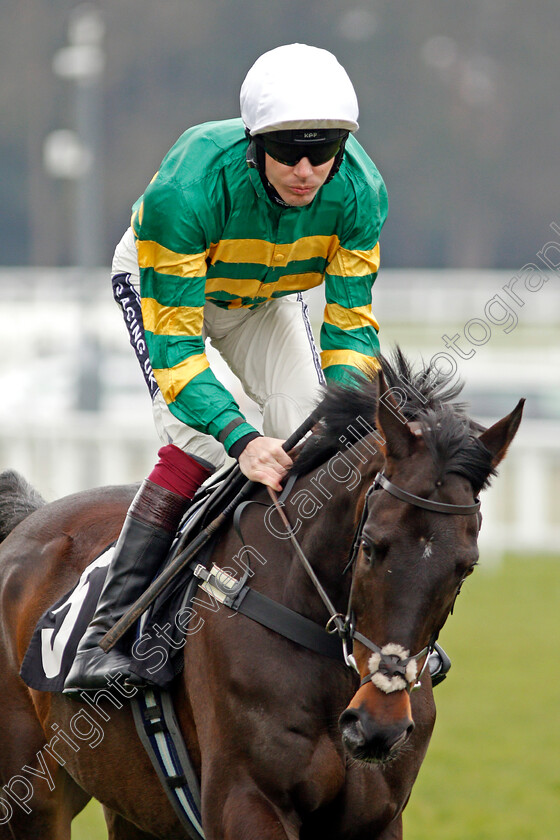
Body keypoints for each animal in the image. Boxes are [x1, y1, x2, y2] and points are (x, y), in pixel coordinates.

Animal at [0, 356, 524, 840]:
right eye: (373, 545)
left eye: (466, 566)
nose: (378, 726)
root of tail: (28, 517)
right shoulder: (246, 800)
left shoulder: (376, 819)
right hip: (33, 798)